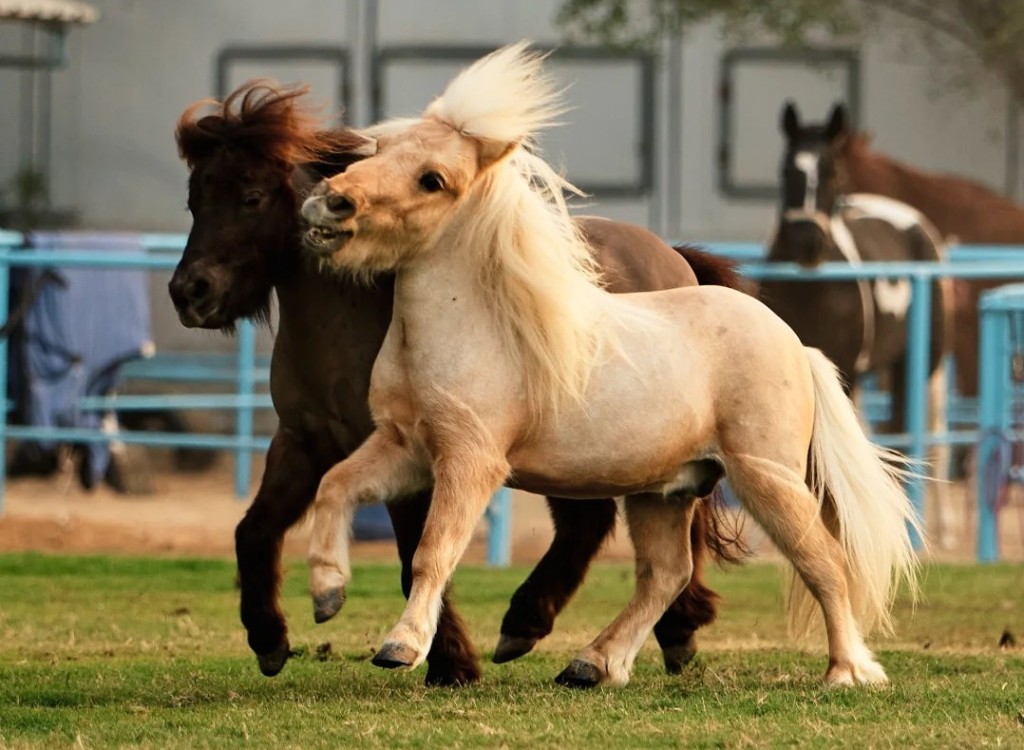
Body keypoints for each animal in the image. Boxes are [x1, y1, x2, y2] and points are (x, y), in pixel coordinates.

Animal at [169, 80, 746, 685]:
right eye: (195, 200)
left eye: (252, 196)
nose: (189, 292)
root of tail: (673, 257)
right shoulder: (304, 442)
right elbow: (254, 531)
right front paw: (269, 638)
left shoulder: (421, 458)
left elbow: (413, 554)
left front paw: (447, 660)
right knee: (593, 525)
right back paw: (548, 624)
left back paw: (647, 630)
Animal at [300, 43, 920, 688]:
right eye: (381, 150)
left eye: (433, 180)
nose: (329, 203)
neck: (475, 328)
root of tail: (796, 346)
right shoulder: (405, 448)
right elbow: (334, 486)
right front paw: (327, 594)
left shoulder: (470, 462)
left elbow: (434, 552)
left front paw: (400, 646)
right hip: (666, 492)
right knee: (666, 574)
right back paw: (593, 664)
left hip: (767, 478)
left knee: (822, 561)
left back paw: (847, 671)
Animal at [762, 102, 955, 550]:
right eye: (786, 171)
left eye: (832, 172)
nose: (807, 243)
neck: (811, 291)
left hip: (918, 366)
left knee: (913, 432)